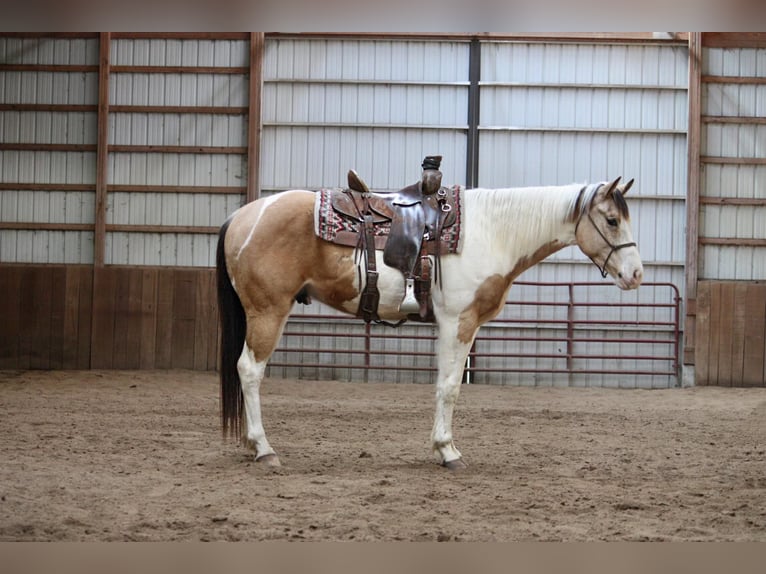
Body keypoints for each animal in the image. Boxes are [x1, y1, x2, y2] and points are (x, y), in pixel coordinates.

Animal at [219, 177, 644, 472]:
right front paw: (448, 451)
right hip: (268, 311)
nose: (636, 275)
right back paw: (264, 449)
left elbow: (444, 386)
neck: (491, 233)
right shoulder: (459, 322)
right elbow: (449, 388)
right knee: (250, 371)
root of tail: (241, 216)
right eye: (611, 220)